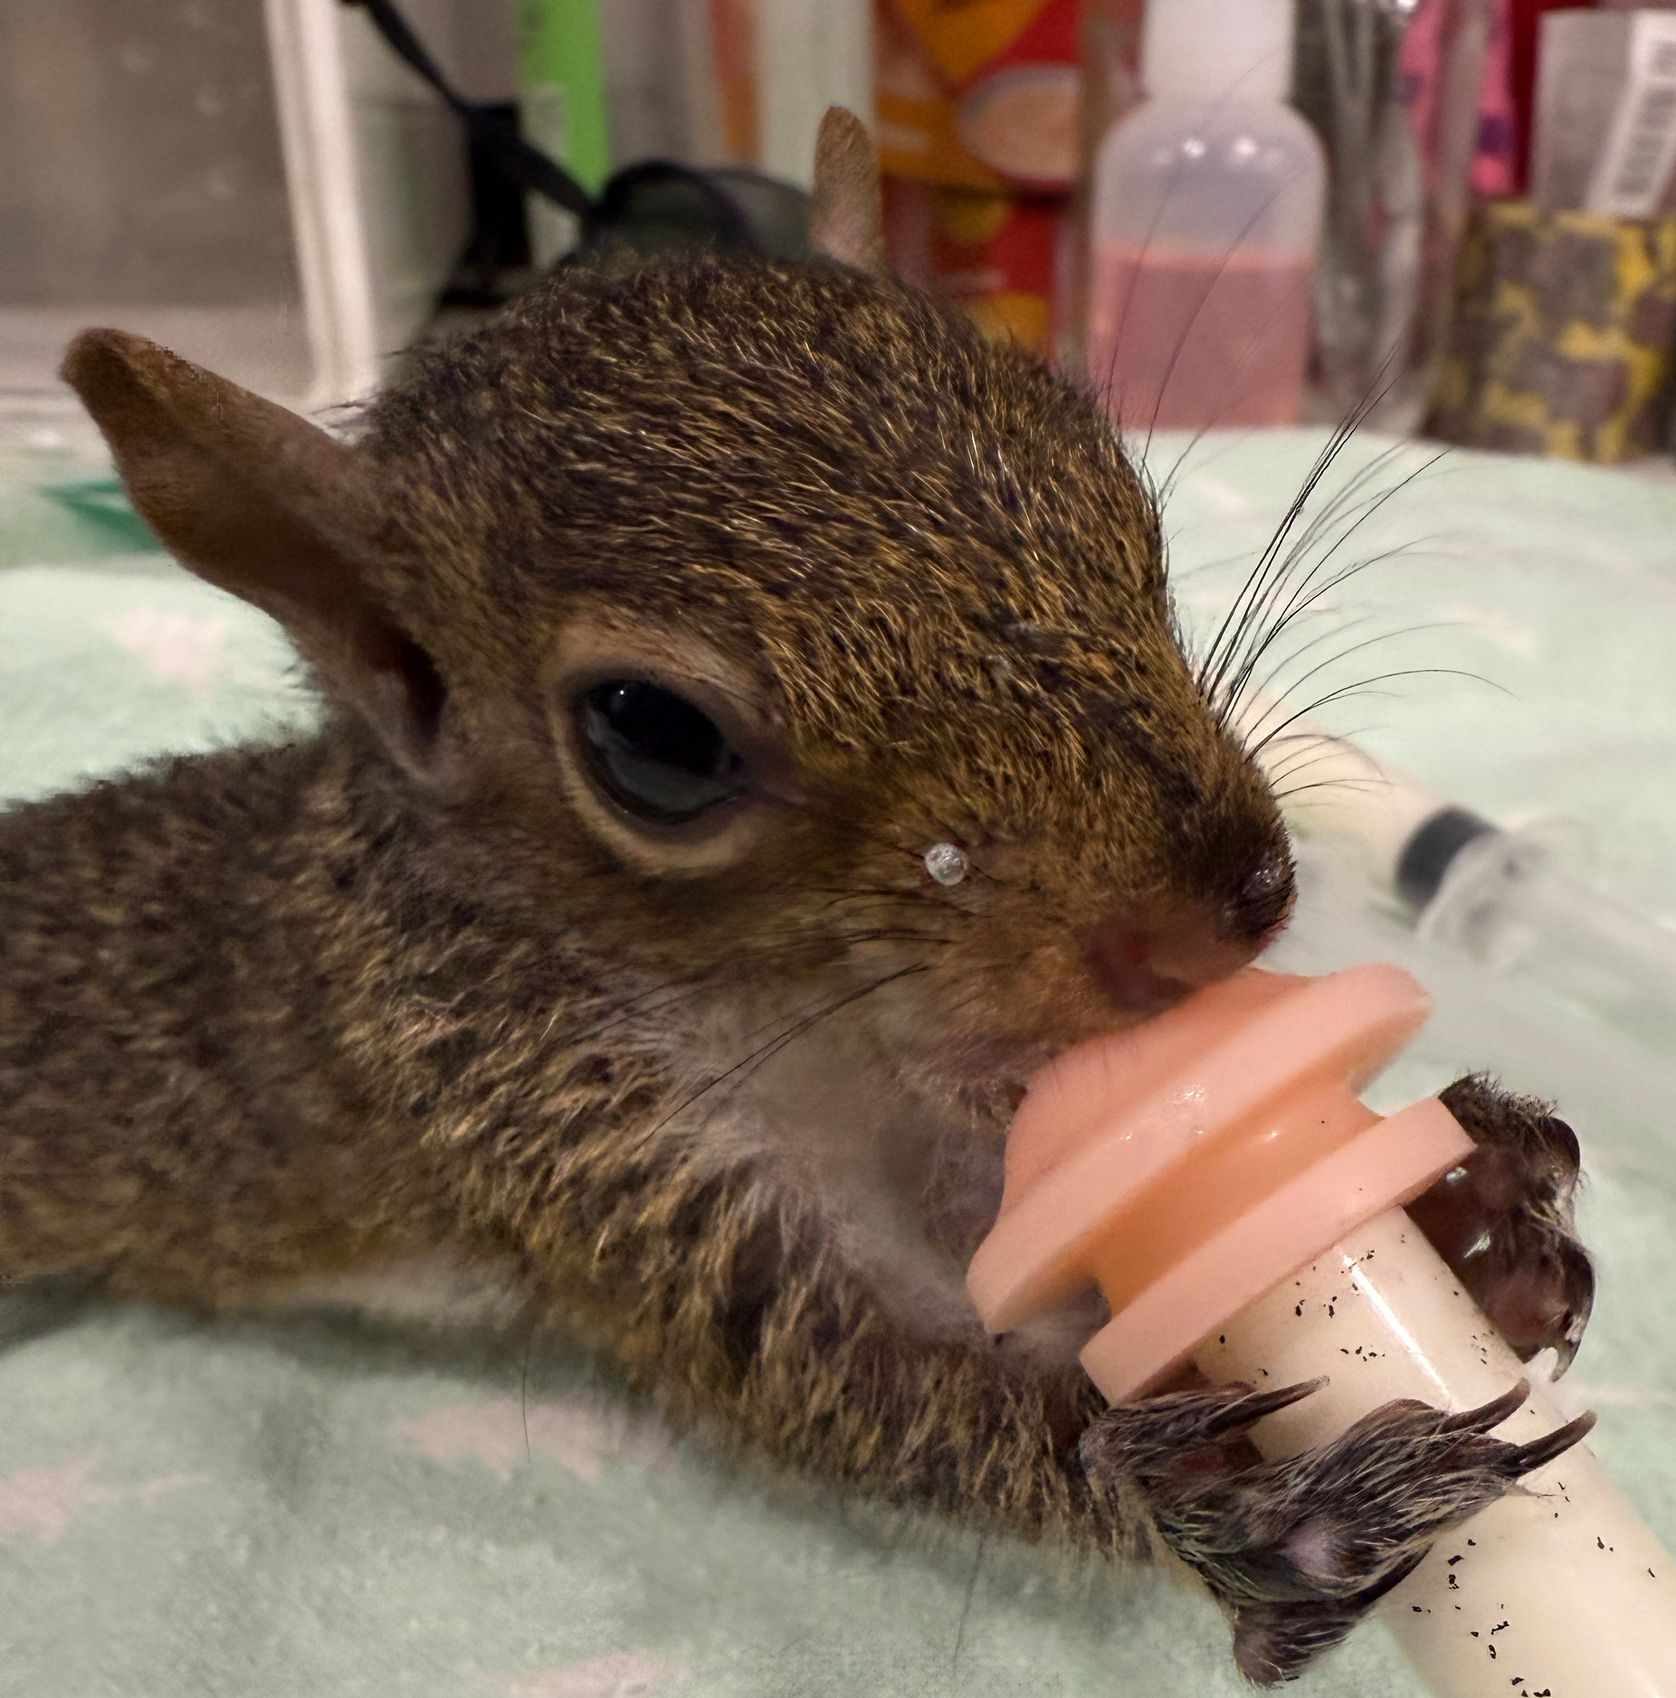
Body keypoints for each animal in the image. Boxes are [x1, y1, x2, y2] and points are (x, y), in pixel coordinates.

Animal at [0, 111, 1594, 1684]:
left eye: (1116, 484)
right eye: (652, 738)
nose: (1234, 901)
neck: (807, 1014)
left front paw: (1470, 1206)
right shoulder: (545, 1128)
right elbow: (848, 1368)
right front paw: (1234, 1505)